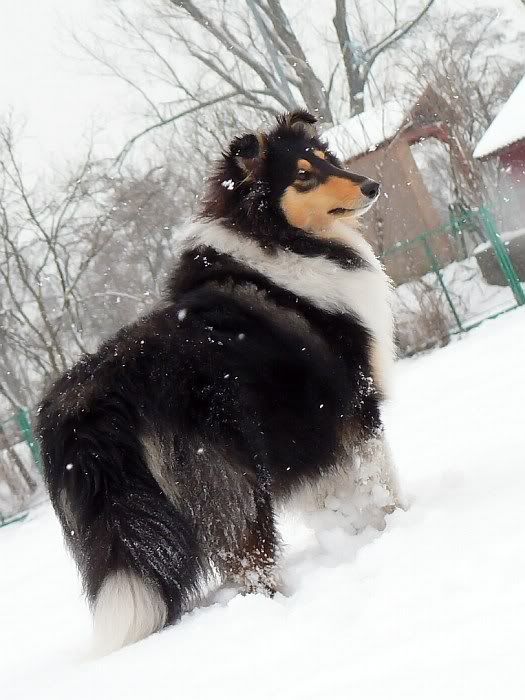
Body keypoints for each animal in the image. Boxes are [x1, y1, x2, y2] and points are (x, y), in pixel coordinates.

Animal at [37, 110, 401, 653]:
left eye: (327, 158)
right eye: (302, 176)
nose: (372, 185)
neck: (279, 240)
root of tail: (100, 394)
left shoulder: (306, 430)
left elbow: (335, 497)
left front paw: (359, 533)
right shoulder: (354, 403)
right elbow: (381, 478)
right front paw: (400, 520)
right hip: (231, 480)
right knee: (250, 562)